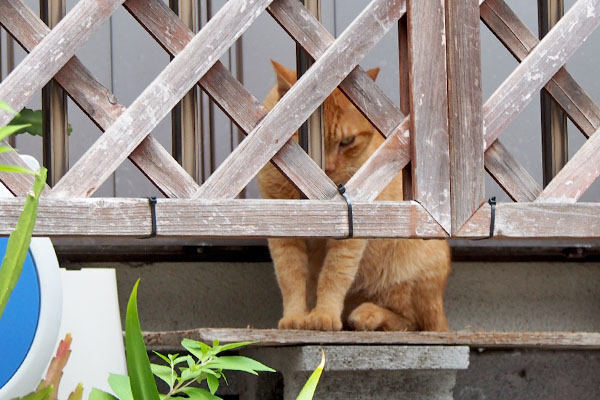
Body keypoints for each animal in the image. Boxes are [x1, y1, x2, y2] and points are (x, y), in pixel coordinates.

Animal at [258, 61, 450, 332]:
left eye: (347, 141)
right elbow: (291, 277)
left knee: (412, 322)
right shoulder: (283, 234)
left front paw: (324, 315)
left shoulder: (349, 234)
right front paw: (295, 316)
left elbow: (334, 274)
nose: (327, 168)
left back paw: (368, 314)